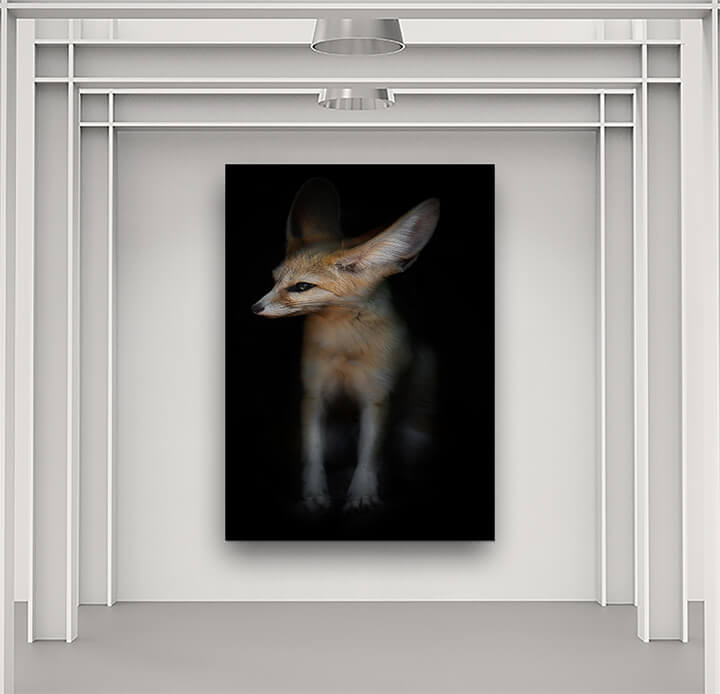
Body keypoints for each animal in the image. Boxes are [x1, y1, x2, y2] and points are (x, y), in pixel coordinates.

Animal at [251, 178, 440, 511]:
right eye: (274, 279)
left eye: (301, 286)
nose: (255, 308)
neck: (344, 349)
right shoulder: (313, 395)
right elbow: (312, 454)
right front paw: (314, 495)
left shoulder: (377, 397)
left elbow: (369, 455)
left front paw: (362, 494)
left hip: (413, 436)